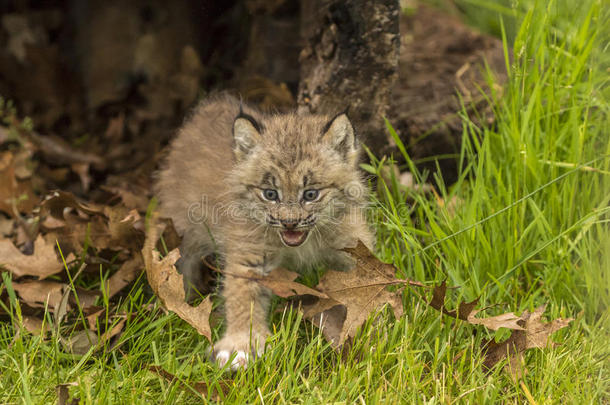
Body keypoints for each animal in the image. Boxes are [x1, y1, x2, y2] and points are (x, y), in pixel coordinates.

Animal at [154, 94, 372, 370]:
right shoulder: (249, 253)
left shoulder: (351, 242)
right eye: (270, 194)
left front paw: (373, 326)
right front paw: (240, 345)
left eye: (311, 194)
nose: (289, 223)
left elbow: (366, 281)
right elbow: (242, 295)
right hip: (185, 225)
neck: (301, 243)